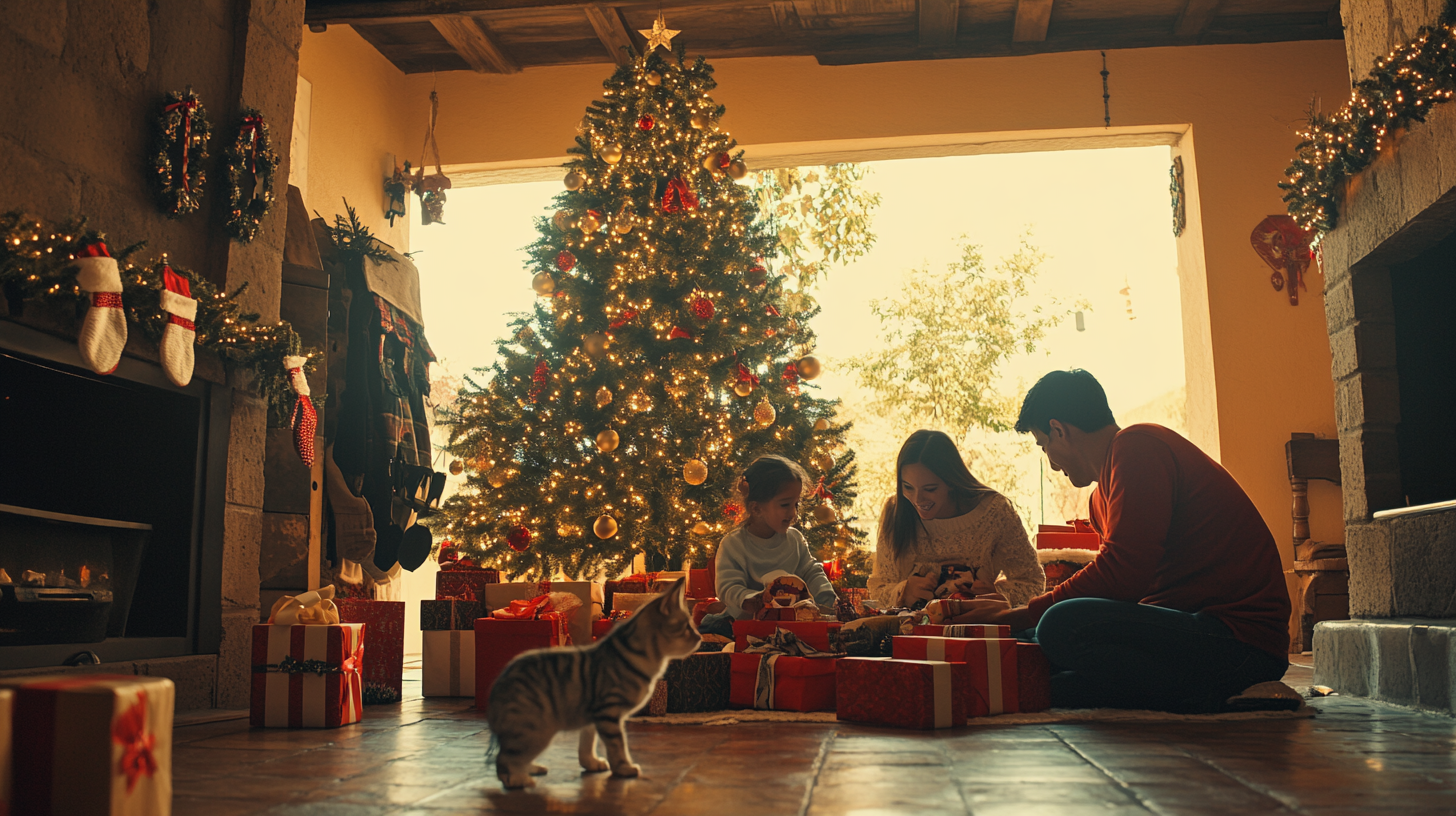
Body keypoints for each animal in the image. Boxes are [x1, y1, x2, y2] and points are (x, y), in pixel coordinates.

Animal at [486, 577, 701, 786]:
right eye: (687, 627)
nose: (699, 637)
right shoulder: (608, 712)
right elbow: (617, 745)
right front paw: (623, 768)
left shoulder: (591, 716)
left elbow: (588, 744)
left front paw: (591, 763)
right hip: (536, 728)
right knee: (504, 758)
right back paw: (517, 779)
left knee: (515, 754)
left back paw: (531, 768)